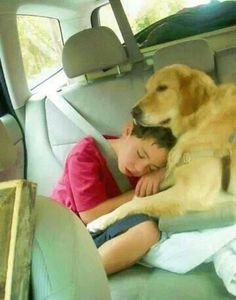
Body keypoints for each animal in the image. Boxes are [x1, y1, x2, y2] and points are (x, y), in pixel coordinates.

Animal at [87, 64, 236, 231]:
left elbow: (138, 202)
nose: (133, 112)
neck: (198, 119)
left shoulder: (192, 191)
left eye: (162, 88)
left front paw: (101, 220)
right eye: (147, 90)